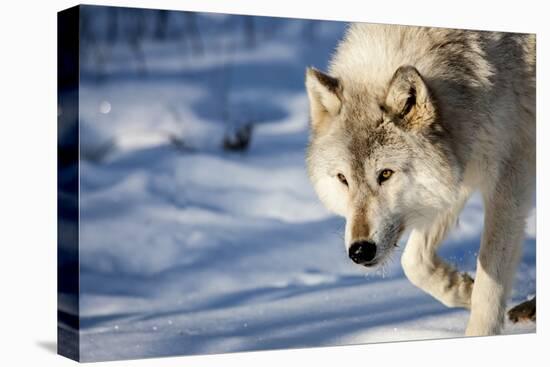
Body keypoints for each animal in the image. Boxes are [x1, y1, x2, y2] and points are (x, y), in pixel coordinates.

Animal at [304, 23, 536, 340]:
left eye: (385, 174)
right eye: (343, 179)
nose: (360, 251)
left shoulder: (509, 179)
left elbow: (490, 284)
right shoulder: (457, 171)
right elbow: (413, 263)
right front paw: (463, 288)